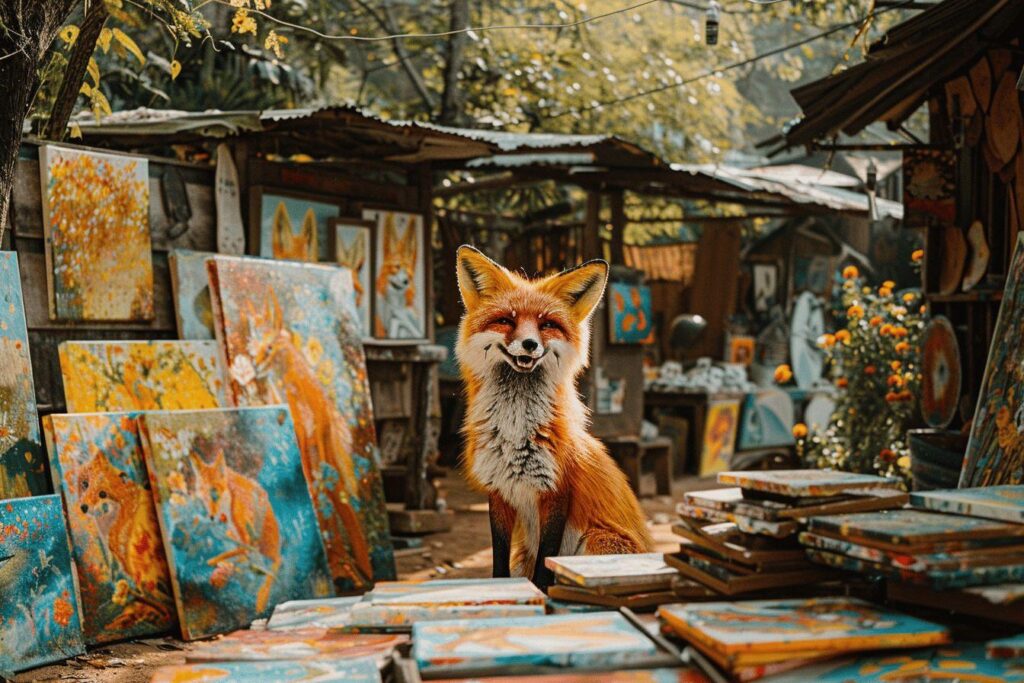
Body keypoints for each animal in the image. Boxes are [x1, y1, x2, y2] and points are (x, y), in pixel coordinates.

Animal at [455, 245, 653, 590]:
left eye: (546, 324)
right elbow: (498, 562)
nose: (529, 344)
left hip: (595, 542)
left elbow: (545, 566)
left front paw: (543, 592)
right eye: (505, 321)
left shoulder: (557, 491)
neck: (515, 432)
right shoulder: (498, 491)